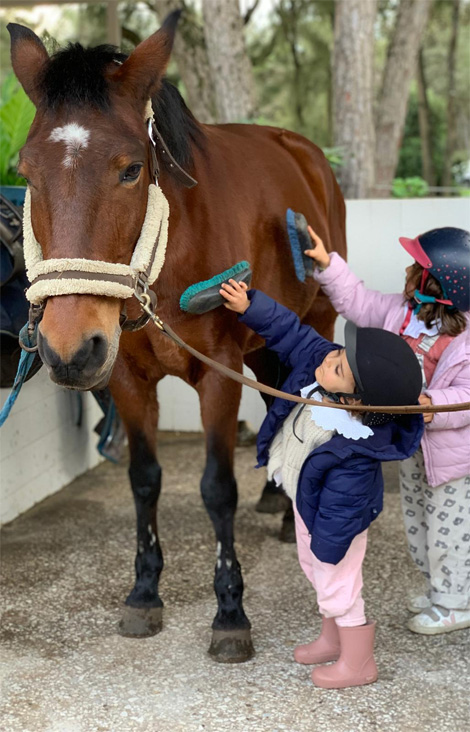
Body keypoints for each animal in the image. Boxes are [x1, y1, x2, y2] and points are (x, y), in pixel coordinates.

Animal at [8, 11, 346, 664]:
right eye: (26, 174)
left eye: (131, 169)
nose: (68, 348)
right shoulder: (126, 378)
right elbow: (144, 481)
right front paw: (144, 592)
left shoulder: (217, 373)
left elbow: (217, 488)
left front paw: (230, 611)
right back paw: (277, 497)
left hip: (313, 322)